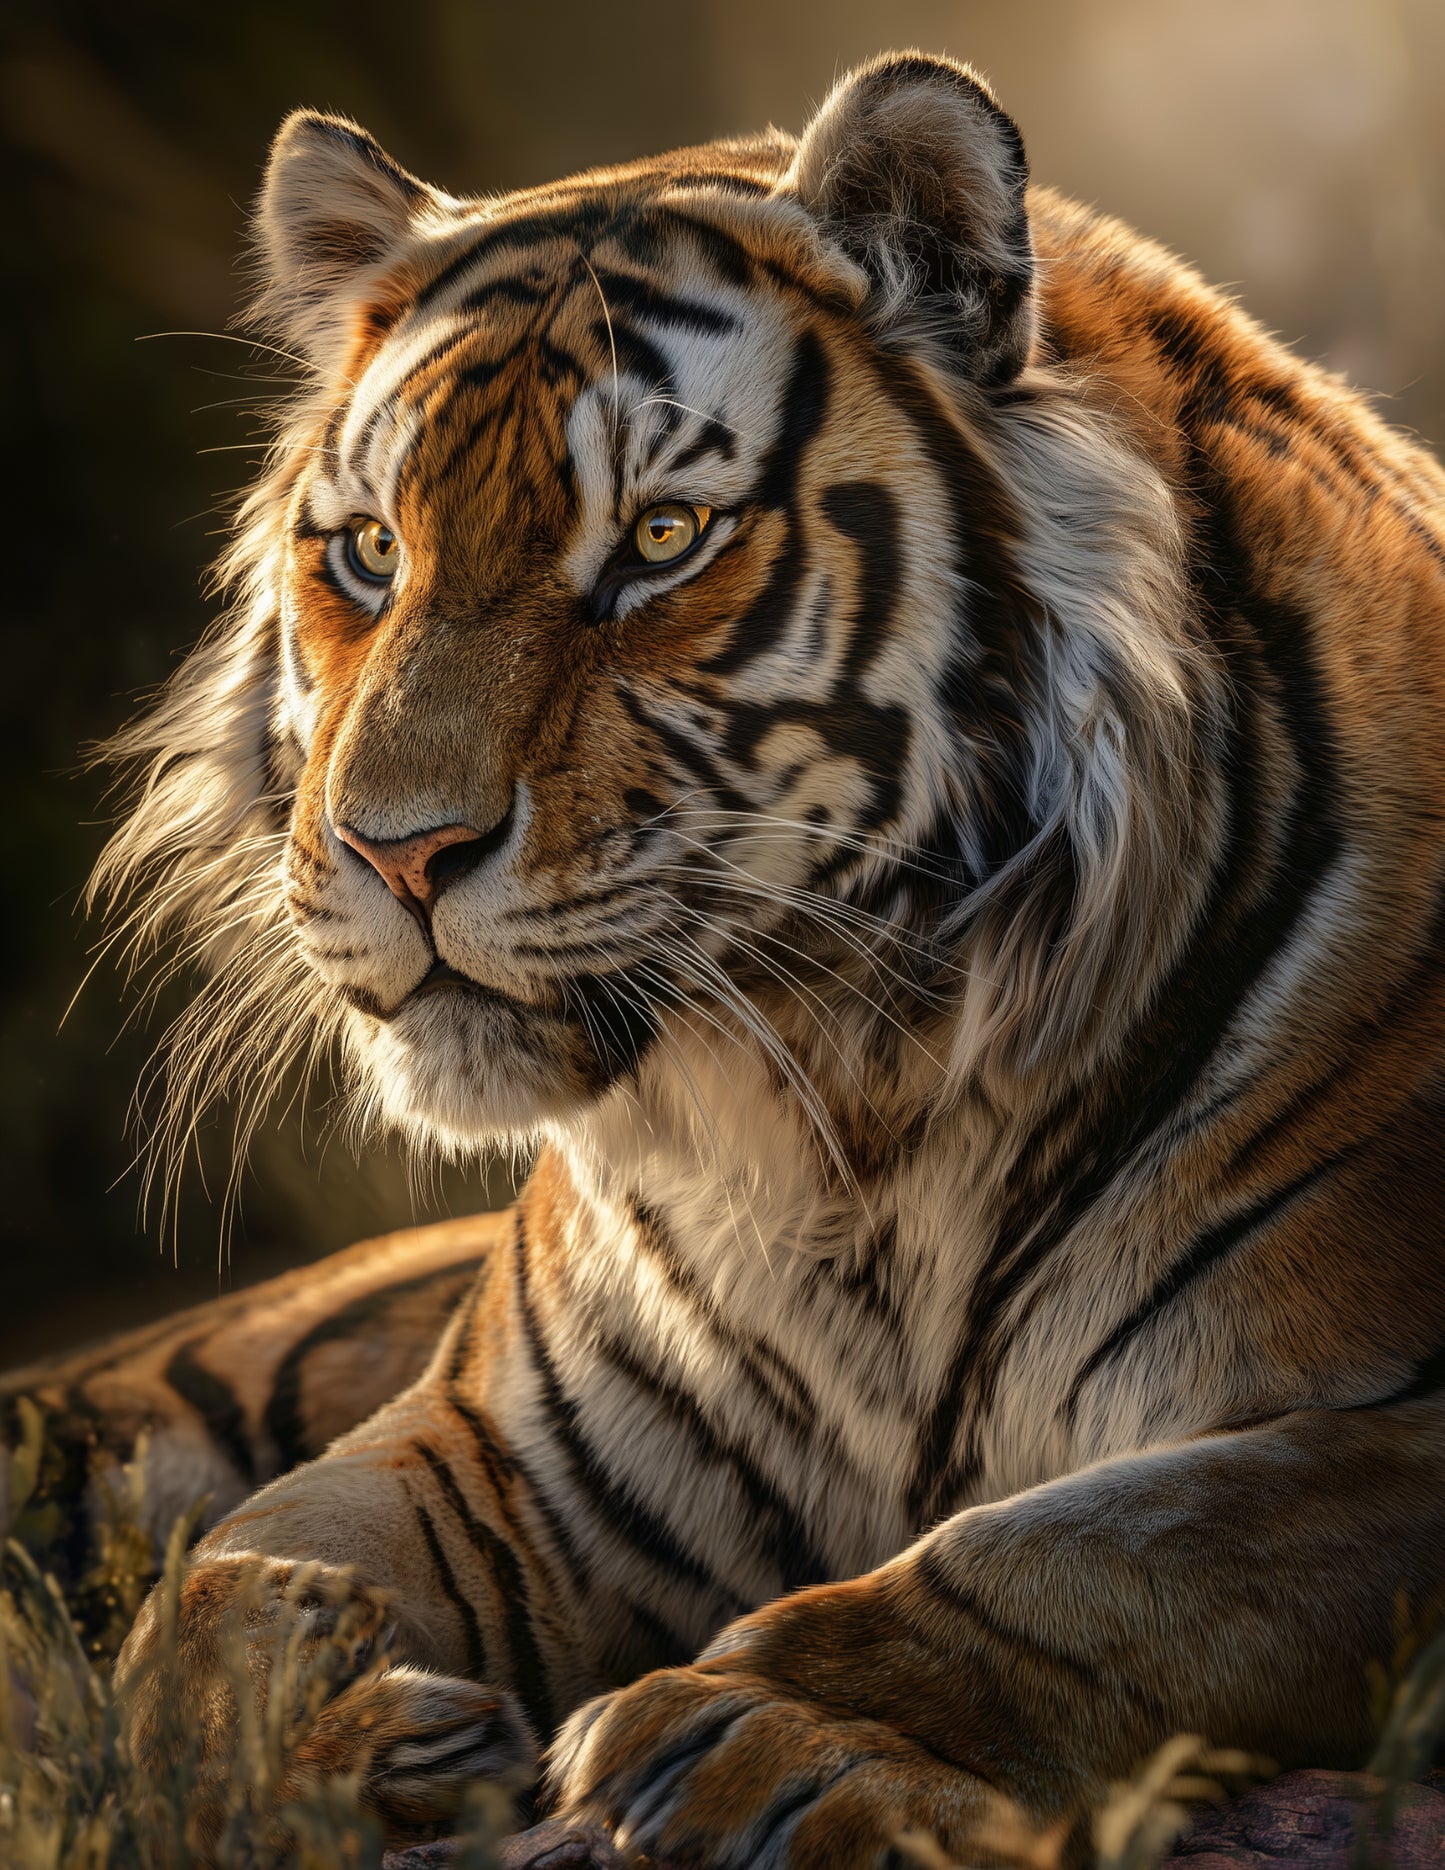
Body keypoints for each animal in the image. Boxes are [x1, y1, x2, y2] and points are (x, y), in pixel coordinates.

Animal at [11, 44, 1445, 1869]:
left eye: (662, 538)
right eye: (372, 554)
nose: (399, 850)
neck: (854, 1119)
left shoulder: (1383, 1438)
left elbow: (1097, 1559)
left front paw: (768, 1741)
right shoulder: (502, 1445)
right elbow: (221, 1597)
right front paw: (340, 1746)